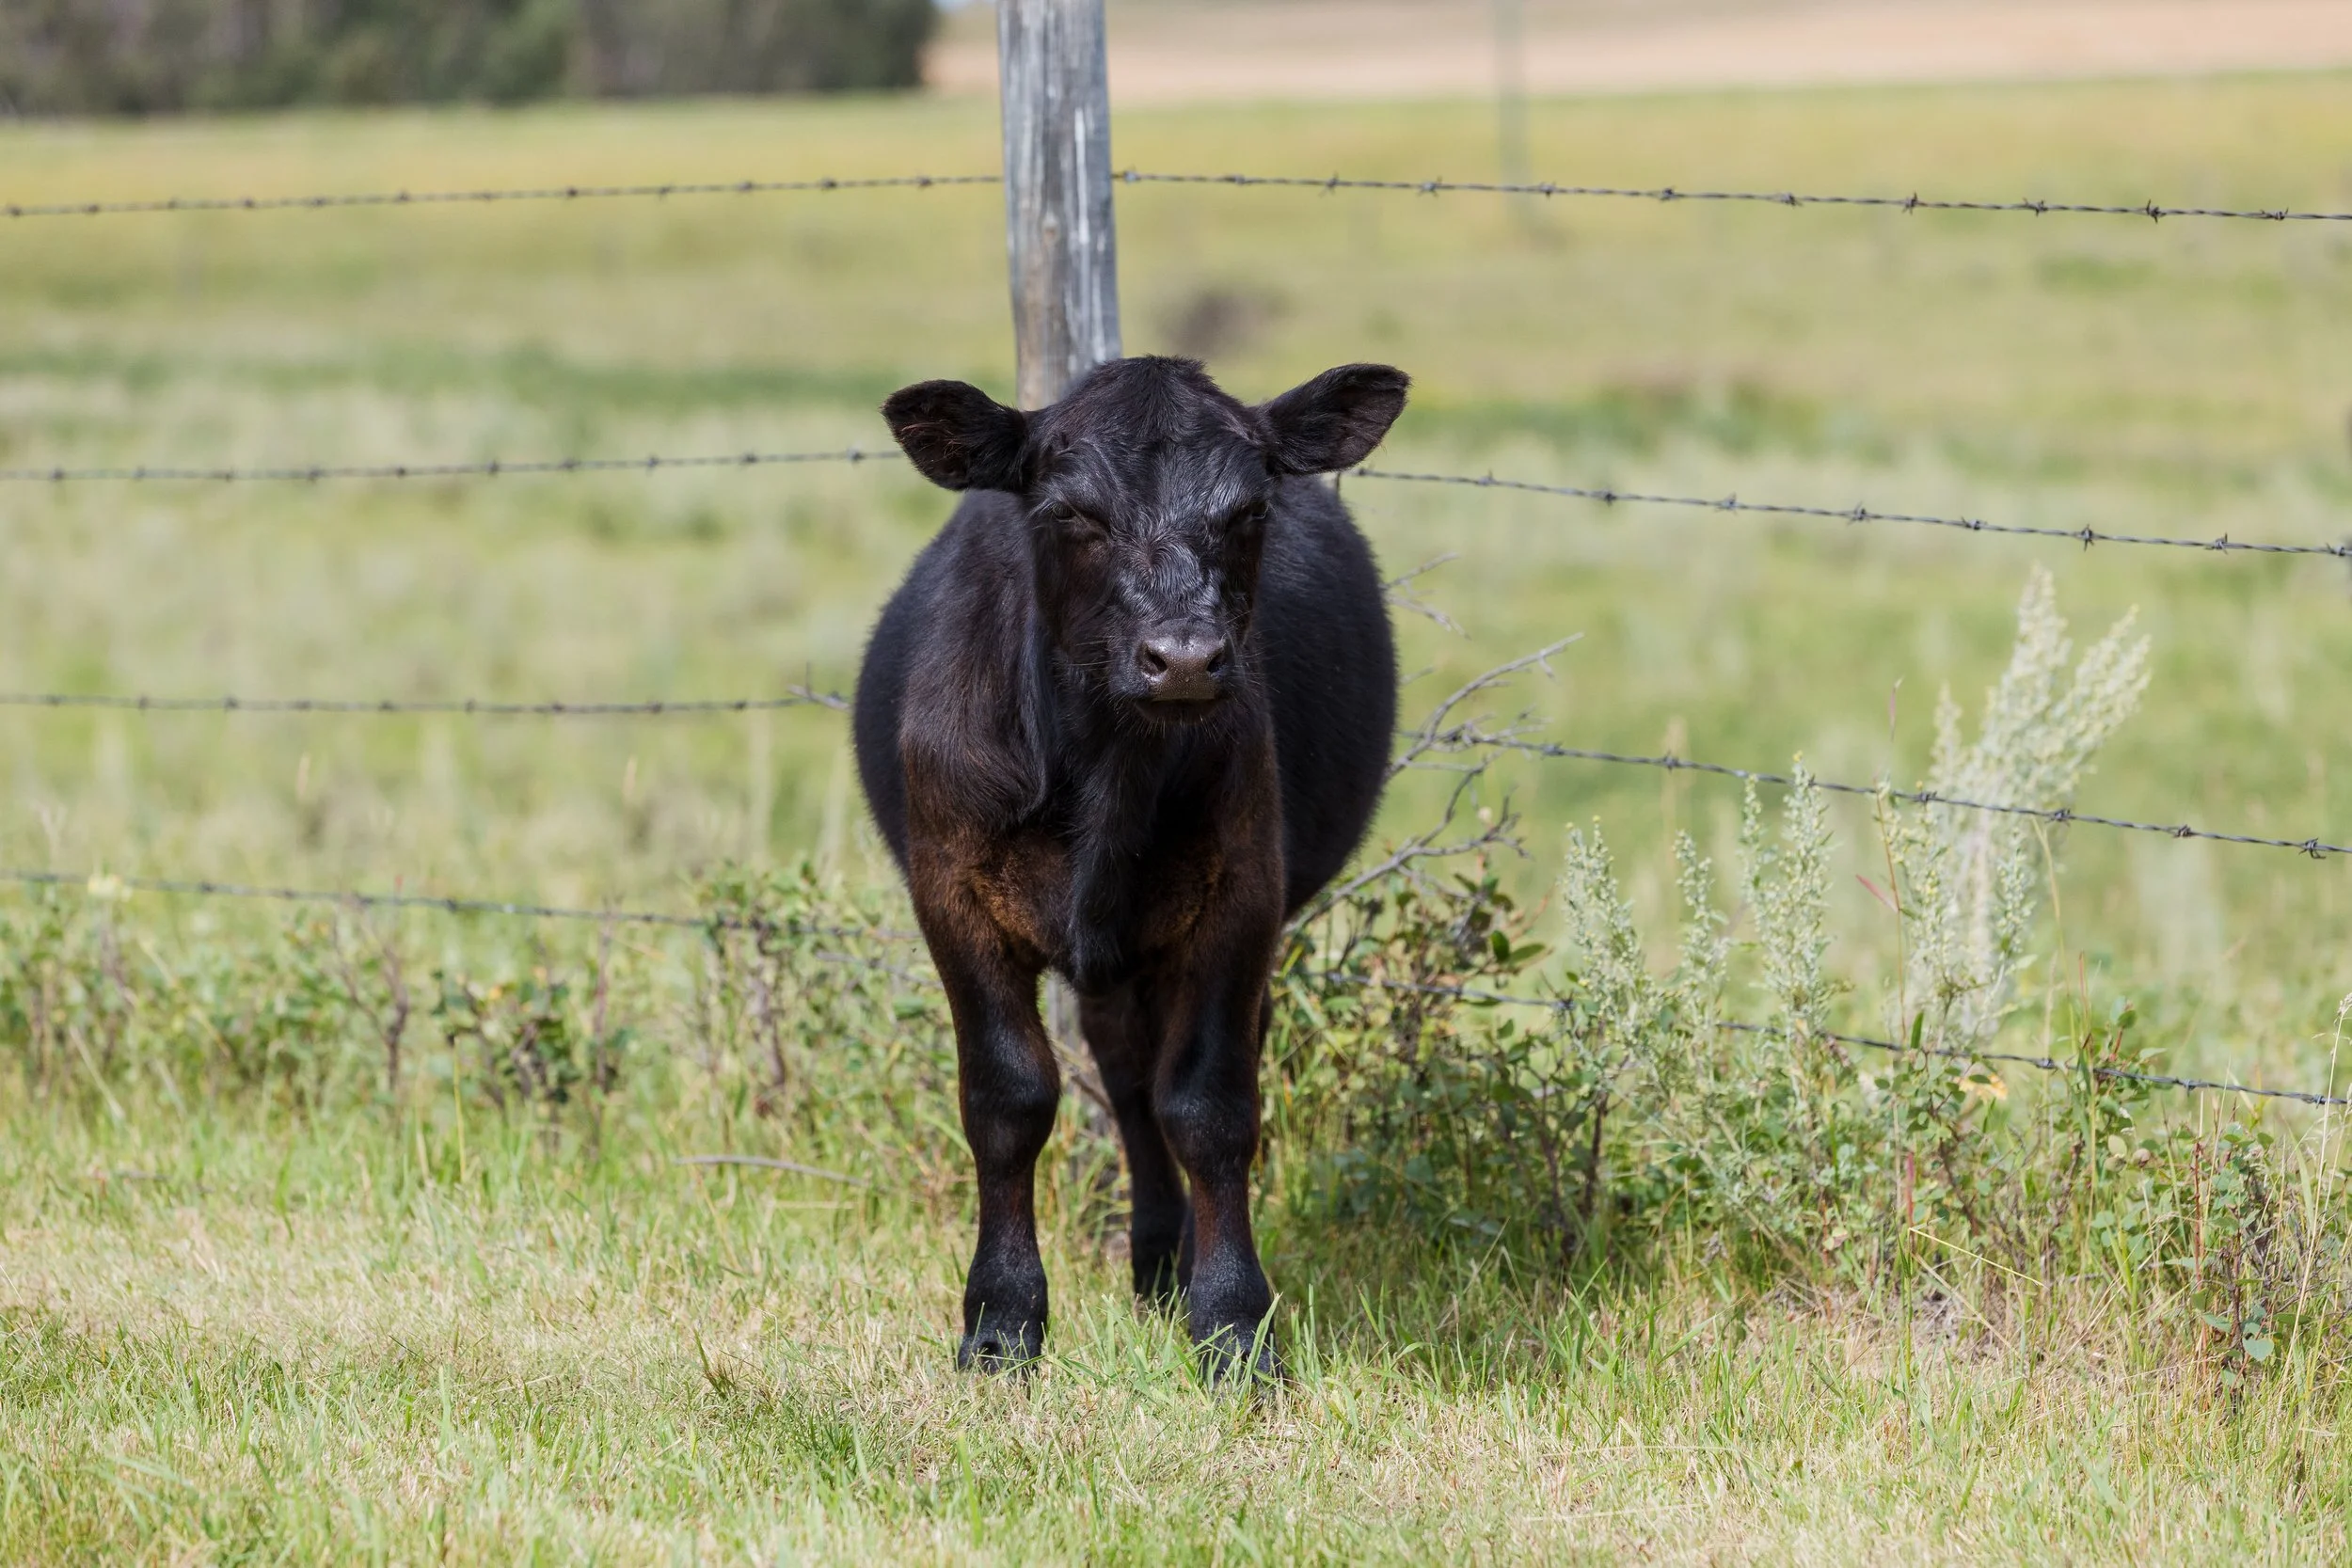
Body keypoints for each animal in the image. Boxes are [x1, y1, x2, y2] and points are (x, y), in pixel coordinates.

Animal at [854, 355, 1406, 1377]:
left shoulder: (1243, 896)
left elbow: (1209, 1105)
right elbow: (1008, 1096)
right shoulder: (952, 893)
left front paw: (1233, 1322)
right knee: (1120, 1070)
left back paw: (1171, 1265)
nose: (1183, 657)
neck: (1109, 766)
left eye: (1250, 509)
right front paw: (1002, 1322)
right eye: (1071, 511)